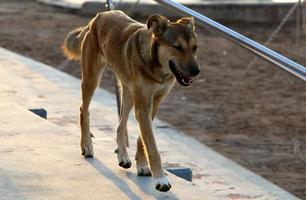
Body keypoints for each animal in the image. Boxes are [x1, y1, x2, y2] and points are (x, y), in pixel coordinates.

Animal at [63, 10, 200, 192]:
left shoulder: (154, 103)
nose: (197, 71)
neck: (156, 66)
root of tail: (100, 15)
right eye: (177, 47)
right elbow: (152, 146)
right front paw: (161, 179)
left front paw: (142, 165)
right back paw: (87, 146)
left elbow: (143, 139)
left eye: (195, 48)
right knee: (83, 110)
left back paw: (123, 156)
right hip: (92, 79)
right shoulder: (142, 106)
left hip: (128, 93)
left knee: (120, 125)